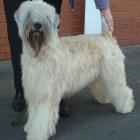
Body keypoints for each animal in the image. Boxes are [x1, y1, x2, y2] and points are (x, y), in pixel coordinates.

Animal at [14, 0, 135, 140]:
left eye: (46, 16)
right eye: (29, 14)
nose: (37, 25)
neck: (40, 54)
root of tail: (106, 36)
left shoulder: (46, 95)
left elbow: (41, 119)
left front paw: (37, 134)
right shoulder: (34, 91)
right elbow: (33, 114)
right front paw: (29, 127)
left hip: (114, 74)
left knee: (123, 90)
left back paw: (126, 107)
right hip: (101, 76)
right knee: (104, 87)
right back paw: (105, 99)